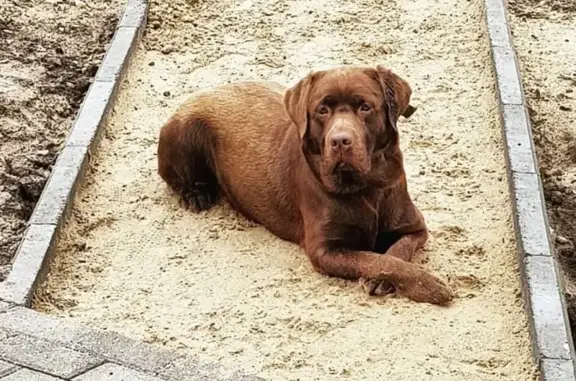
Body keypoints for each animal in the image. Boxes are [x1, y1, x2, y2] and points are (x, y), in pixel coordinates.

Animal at [158, 64, 454, 302]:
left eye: (365, 107)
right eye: (322, 110)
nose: (340, 141)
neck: (366, 187)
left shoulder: (415, 227)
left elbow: (396, 252)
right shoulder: (324, 249)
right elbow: (375, 259)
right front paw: (431, 286)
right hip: (185, 129)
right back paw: (196, 194)